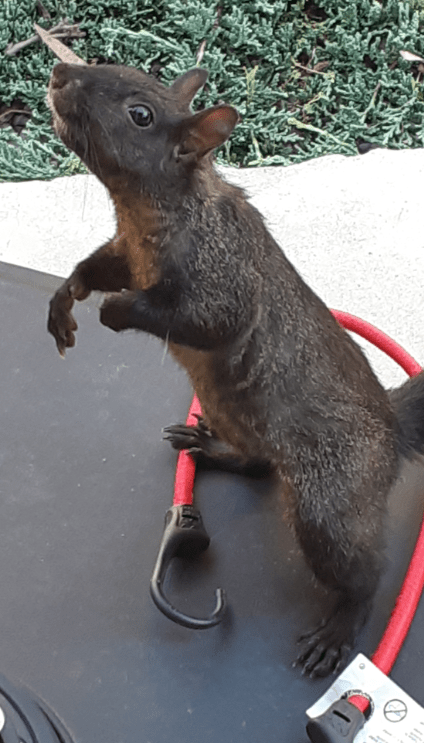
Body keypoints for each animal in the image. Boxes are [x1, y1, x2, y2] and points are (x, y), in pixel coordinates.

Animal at [47, 61, 424, 677]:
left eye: (140, 115)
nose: (60, 72)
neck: (145, 209)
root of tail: (391, 433)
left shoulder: (222, 274)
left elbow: (204, 320)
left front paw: (115, 310)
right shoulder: (126, 250)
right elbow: (98, 265)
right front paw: (66, 297)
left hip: (330, 503)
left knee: (362, 574)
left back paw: (340, 627)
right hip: (231, 411)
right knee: (258, 464)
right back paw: (208, 447)